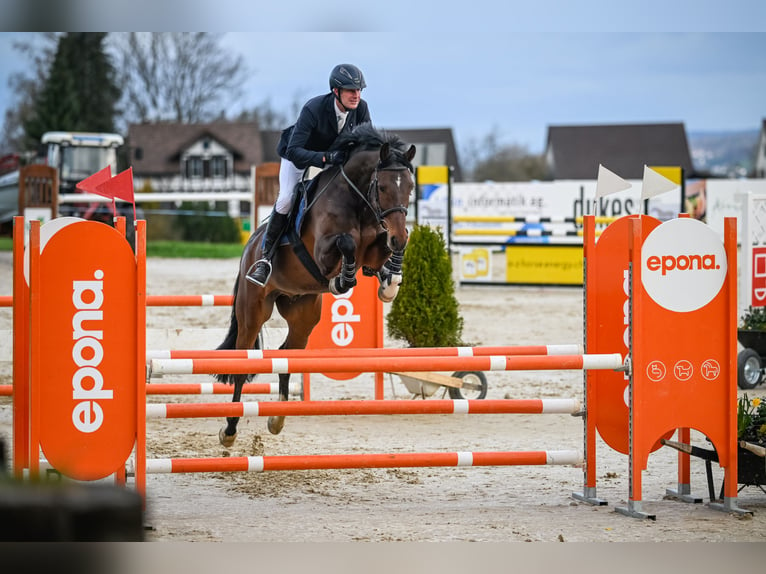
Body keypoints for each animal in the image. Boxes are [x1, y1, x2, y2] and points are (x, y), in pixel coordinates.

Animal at [216, 126, 416, 448]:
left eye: (409, 186)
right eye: (383, 188)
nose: (398, 235)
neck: (358, 202)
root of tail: (249, 248)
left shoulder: (375, 245)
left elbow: (379, 254)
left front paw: (390, 281)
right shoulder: (323, 252)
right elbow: (347, 244)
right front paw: (343, 280)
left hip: (303, 313)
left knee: (286, 353)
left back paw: (277, 419)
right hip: (253, 311)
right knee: (241, 366)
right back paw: (230, 430)